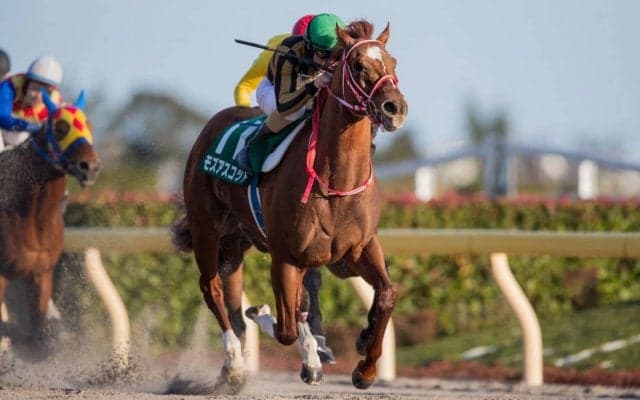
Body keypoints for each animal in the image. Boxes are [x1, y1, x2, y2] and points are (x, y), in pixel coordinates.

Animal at [0, 92, 100, 353]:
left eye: (89, 126)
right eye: (61, 128)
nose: (90, 167)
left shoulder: (40, 275)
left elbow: (36, 334)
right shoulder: (2, 275)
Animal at [172, 20, 407, 390]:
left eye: (393, 62)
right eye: (358, 66)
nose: (394, 108)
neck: (336, 183)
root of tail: (212, 125)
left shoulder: (357, 249)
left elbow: (386, 295)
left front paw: (365, 365)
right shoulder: (286, 256)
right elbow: (284, 328)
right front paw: (268, 318)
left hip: (235, 241)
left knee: (239, 297)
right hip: (206, 230)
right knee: (213, 288)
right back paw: (236, 364)